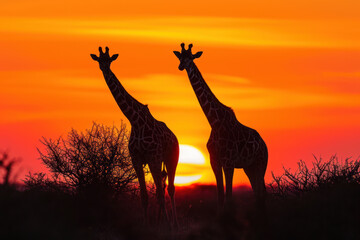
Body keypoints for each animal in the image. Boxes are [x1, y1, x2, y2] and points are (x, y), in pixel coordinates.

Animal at [91, 46, 179, 225]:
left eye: (109, 59)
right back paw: (160, 221)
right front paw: (147, 225)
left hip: (171, 158)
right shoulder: (136, 159)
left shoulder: (153, 157)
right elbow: (144, 196)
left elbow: (160, 195)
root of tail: (175, 138)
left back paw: (174, 223)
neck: (135, 121)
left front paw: (166, 226)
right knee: (162, 186)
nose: (104, 68)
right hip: (159, 161)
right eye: (99, 60)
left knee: (170, 188)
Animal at [173, 43, 268, 212]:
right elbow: (220, 198)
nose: (181, 66)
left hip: (260, 164)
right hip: (249, 167)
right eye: (180, 57)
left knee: (262, 193)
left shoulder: (229, 162)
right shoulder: (215, 161)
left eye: (191, 57)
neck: (214, 122)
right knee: (258, 193)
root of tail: (265, 146)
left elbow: (229, 197)